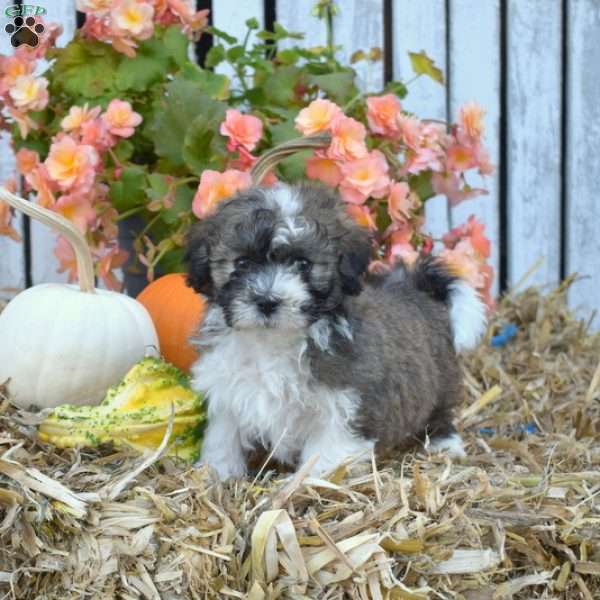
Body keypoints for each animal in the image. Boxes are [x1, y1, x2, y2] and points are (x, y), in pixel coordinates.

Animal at [186, 182, 488, 478]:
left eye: (303, 263)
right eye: (242, 262)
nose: (267, 301)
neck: (273, 340)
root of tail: (415, 287)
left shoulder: (347, 402)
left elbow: (326, 450)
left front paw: (308, 482)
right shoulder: (227, 388)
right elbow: (223, 435)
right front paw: (217, 473)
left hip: (439, 379)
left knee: (440, 410)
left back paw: (444, 444)